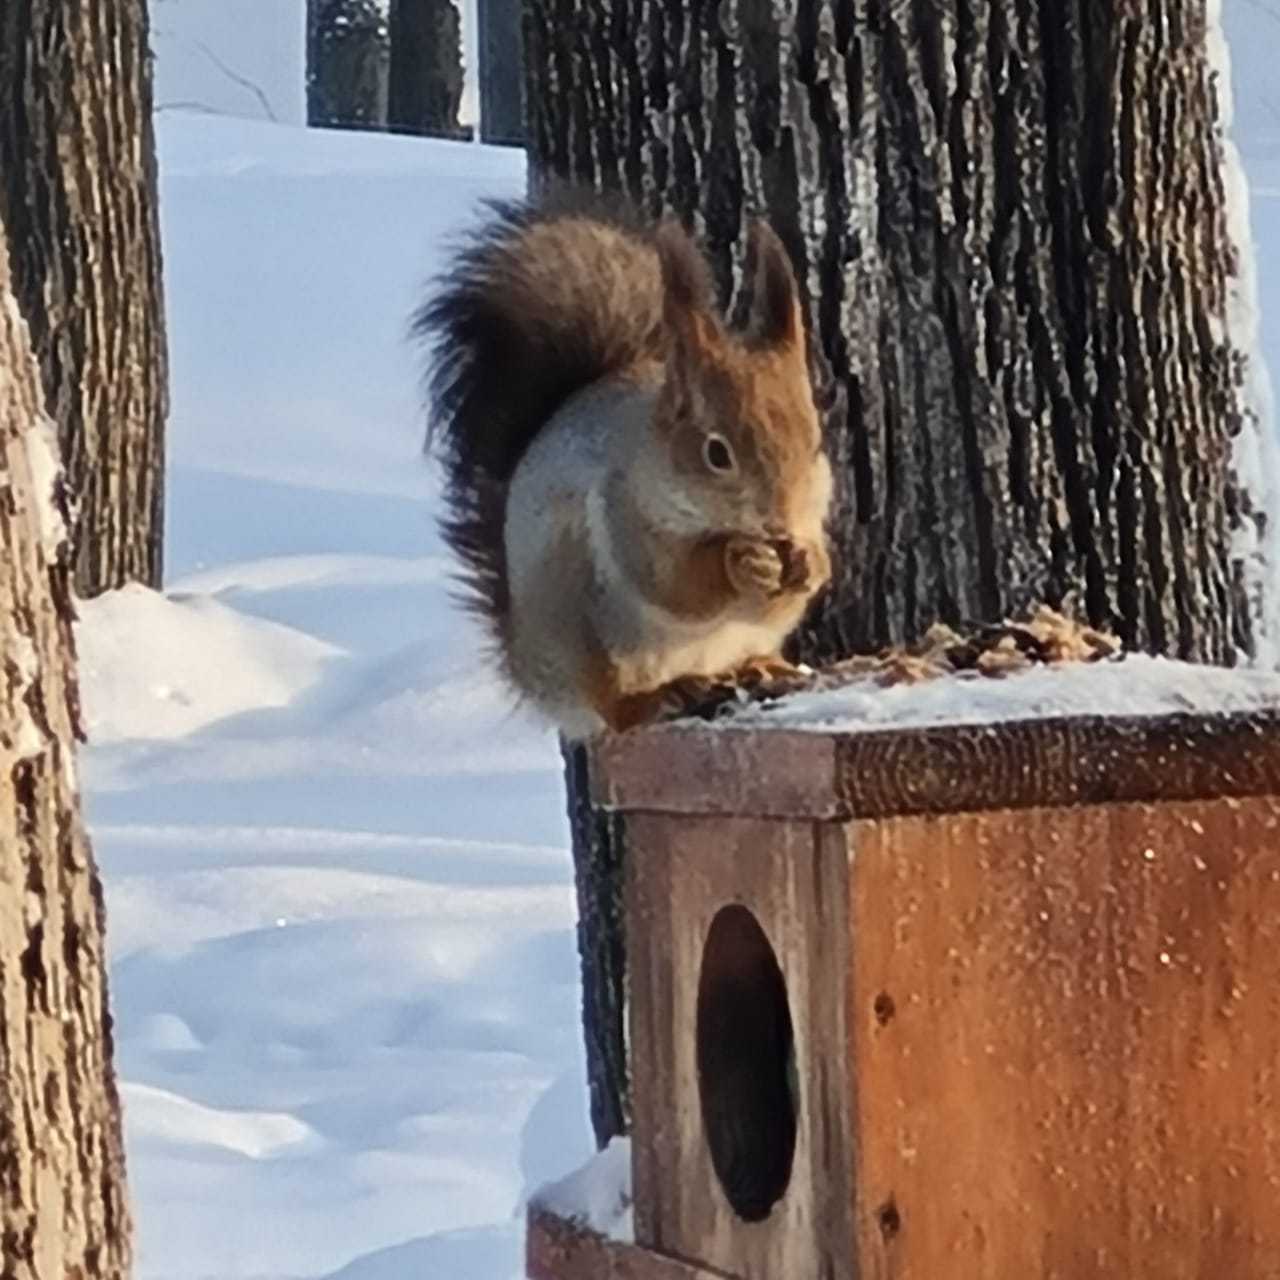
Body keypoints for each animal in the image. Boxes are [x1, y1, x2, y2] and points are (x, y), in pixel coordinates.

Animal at [417, 185, 829, 737]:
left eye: (815, 443)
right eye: (716, 453)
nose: (779, 523)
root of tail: (529, 669)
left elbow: (784, 599)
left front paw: (807, 563)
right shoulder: (623, 511)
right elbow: (675, 583)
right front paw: (741, 561)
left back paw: (761, 667)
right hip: (577, 621)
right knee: (609, 700)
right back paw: (653, 698)